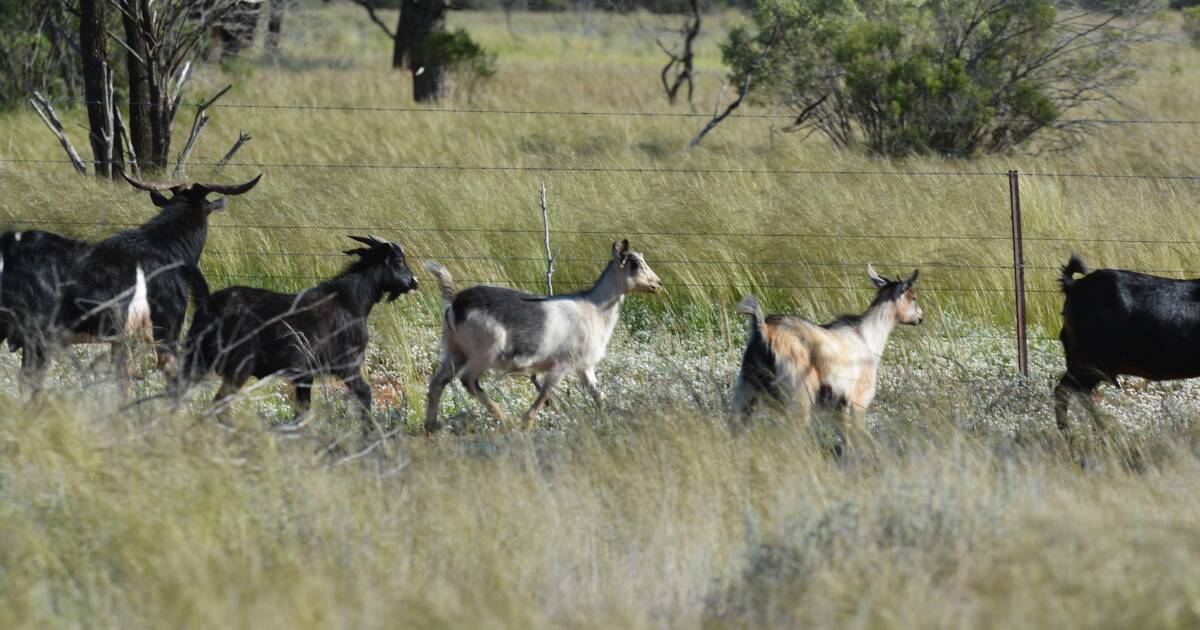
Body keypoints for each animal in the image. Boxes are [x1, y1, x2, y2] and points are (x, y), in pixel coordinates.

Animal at [178, 234, 417, 422]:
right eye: (398, 260)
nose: (413, 282)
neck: (350, 301)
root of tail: (209, 303)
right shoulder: (346, 364)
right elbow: (364, 393)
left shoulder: (305, 375)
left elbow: (302, 411)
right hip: (238, 364)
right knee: (219, 403)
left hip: (197, 357)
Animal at [424, 237, 667, 432]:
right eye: (634, 264)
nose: (658, 283)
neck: (595, 309)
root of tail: (454, 304)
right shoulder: (562, 364)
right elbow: (546, 393)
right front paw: (526, 423)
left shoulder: (584, 366)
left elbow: (600, 397)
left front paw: (606, 423)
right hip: (485, 351)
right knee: (468, 380)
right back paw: (504, 419)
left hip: (456, 351)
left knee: (437, 383)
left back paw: (430, 427)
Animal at [724, 262, 921, 444]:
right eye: (914, 298)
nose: (921, 317)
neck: (868, 335)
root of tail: (765, 331)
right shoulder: (859, 400)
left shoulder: (839, 404)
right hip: (798, 393)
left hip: (747, 386)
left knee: (736, 424)